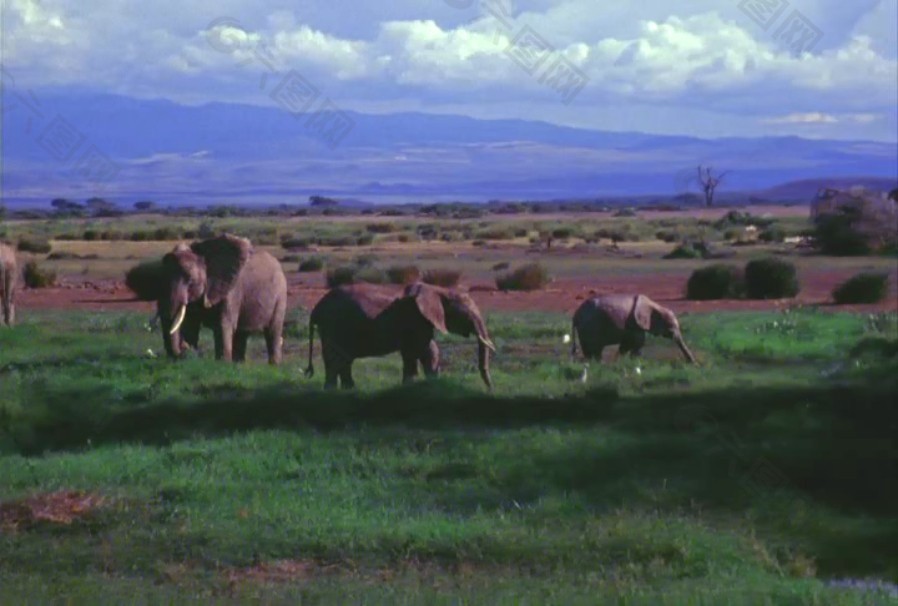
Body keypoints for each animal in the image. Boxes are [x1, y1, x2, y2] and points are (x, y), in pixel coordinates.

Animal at [126, 235, 286, 364]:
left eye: (190, 280)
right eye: (159, 279)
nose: (183, 349)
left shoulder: (230, 290)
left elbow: (223, 325)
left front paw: (222, 364)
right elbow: (190, 326)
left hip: (280, 294)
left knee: (273, 331)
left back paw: (273, 365)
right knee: (242, 333)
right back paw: (239, 365)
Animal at [304, 282, 494, 390]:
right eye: (467, 315)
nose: (490, 390)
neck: (438, 290)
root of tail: (316, 309)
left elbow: (429, 350)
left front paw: (432, 384)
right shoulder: (415, 319)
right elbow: (418, 350)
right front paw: (411, 387)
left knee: (343, 362)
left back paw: (348, 392)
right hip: (333, 326)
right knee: (336, 361)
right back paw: (334, 393)